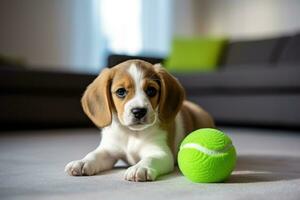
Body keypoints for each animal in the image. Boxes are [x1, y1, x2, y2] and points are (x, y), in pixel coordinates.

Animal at [65, 59, 214, 181]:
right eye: (120, 92)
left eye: (151, 90)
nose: (138, 111)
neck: (132, 133)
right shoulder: (108, 150)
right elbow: (94, 155)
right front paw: (82, 162)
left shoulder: (161, 153)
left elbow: (150, 158)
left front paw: (140, 167)